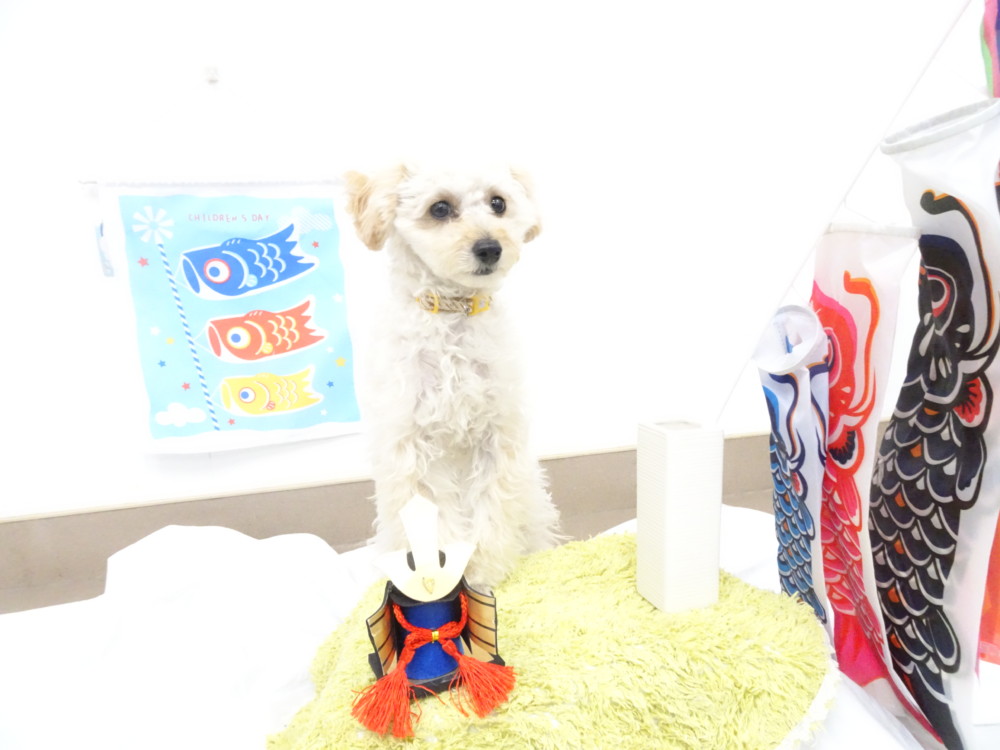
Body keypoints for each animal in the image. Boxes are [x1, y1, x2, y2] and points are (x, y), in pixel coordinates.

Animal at [345, 162, 561, 589]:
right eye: (440, 208)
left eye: (498, 203)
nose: (490, 248)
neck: (453, 312)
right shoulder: (412, 445)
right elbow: (432, 520)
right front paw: (438, 580)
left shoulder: (497, 436)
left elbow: (490, 510)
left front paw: (482, 572)